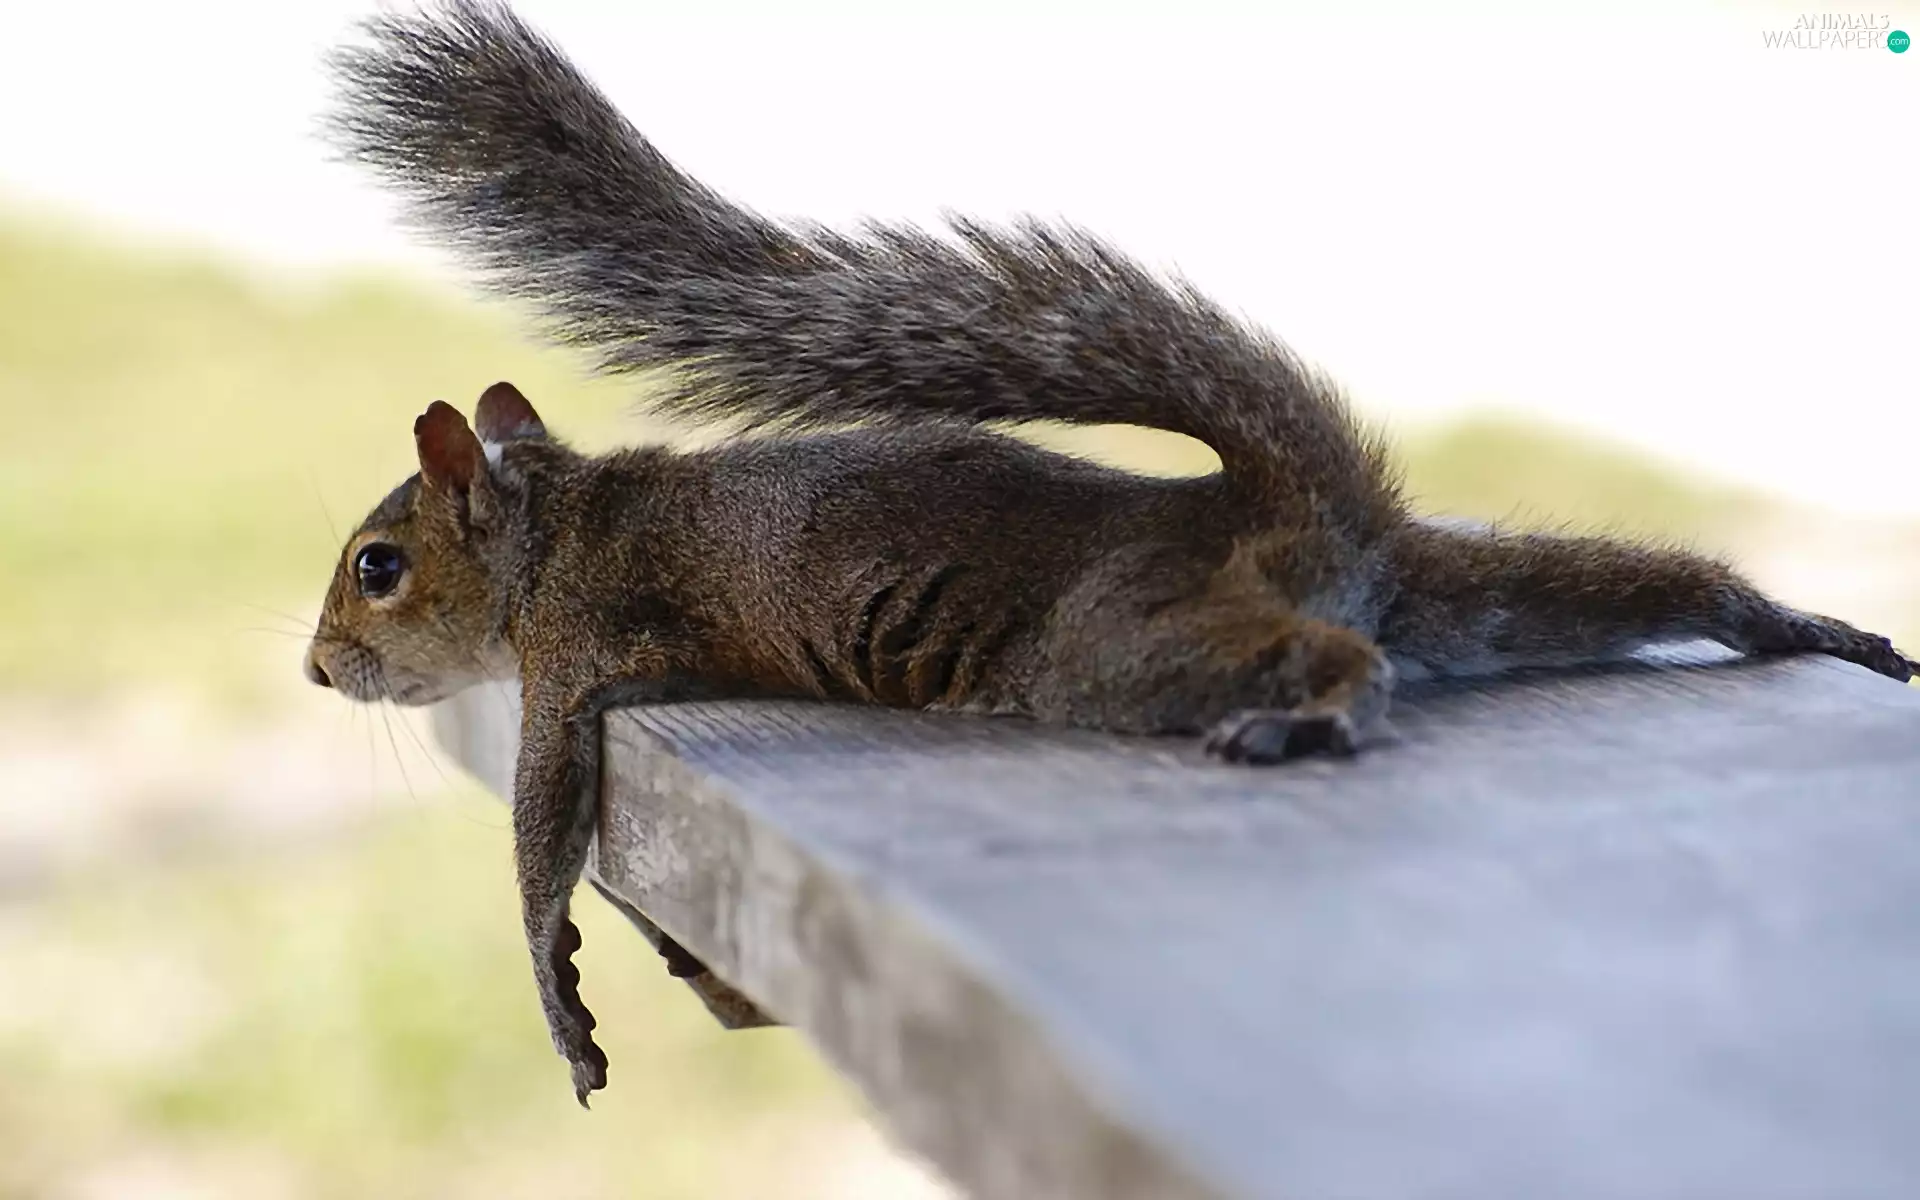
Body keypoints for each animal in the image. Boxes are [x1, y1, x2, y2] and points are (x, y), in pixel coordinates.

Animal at [303, 0, 1918, 1107]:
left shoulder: (573, 653)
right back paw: (1800, 625)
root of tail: (1287, 504)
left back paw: (1320, 710)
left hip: (1116, 641)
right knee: (1620, 588)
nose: (319, 672)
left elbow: (540, 837)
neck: (553, 524)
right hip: (1465, 586)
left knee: (1340, 653)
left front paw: (560, 1002)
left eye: (377, 565)